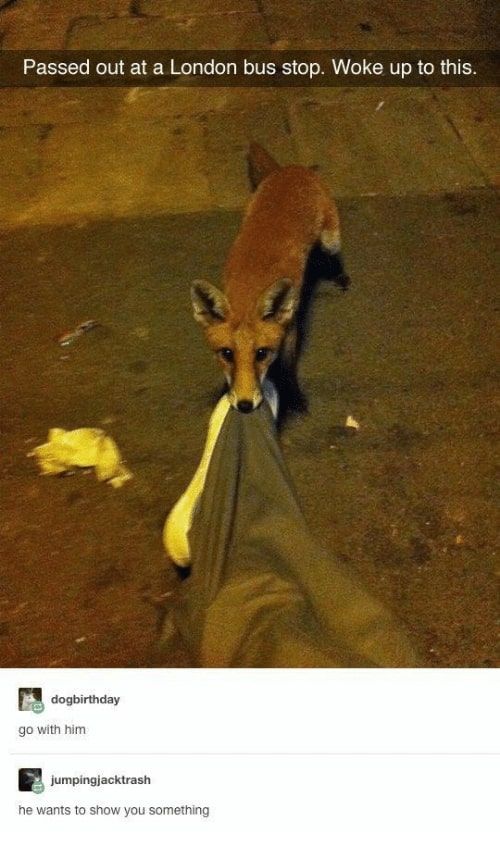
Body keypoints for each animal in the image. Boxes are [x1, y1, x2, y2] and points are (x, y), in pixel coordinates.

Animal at [191, 143, 345, 413]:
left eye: (262, 353)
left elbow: (288, 367)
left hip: (331, 239)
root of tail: (288, 170)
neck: (250, 286)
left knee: (331, 255)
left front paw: (294, 397)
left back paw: (338, 274)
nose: (244, 405)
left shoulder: (290, 328)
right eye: (226, 354)